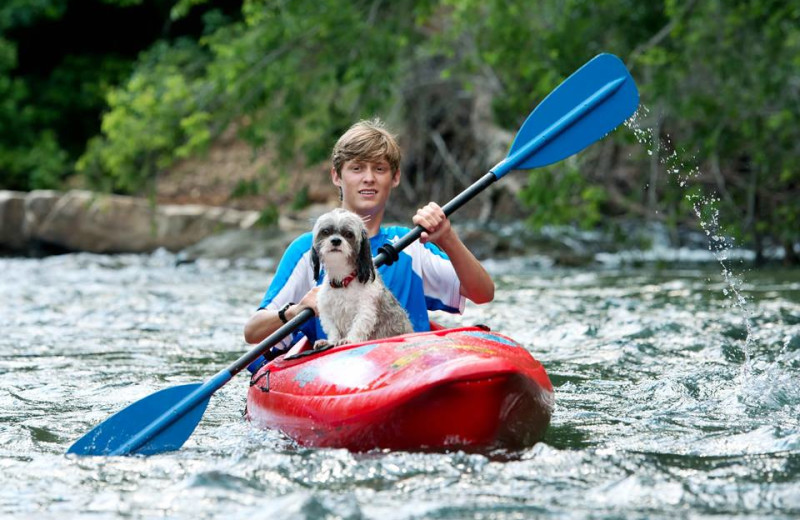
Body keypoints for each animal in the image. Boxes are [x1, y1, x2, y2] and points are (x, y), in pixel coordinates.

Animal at [310, 206, 416, 346]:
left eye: (349, 234)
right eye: (326, 231)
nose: (336, 240)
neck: (343, 280)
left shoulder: (366, 306)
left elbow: (359, 324)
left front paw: (349, 339)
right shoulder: (326, 309)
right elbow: (332, 329)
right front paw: (330, 341)